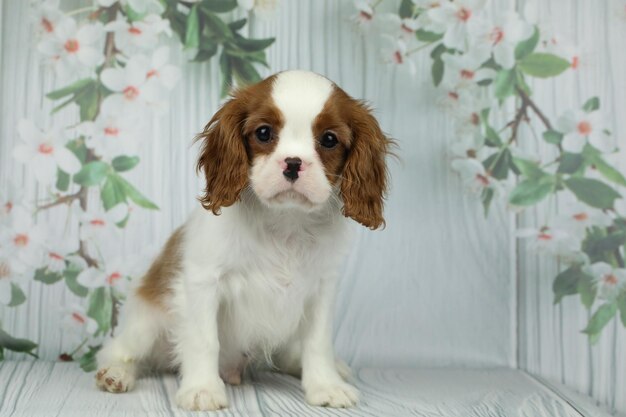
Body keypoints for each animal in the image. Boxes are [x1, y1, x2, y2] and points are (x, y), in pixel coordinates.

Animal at [94, 69, 388, 410]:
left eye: (329, 139)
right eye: (263, 133)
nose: (293, 163)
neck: (285, 220)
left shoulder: (322, 289)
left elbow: (317, 342)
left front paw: (326, 385)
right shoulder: (202, 281)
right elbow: (204, 339)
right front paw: (202, 389)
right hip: (146, 322)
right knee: (123, 351)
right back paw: (116, 373)